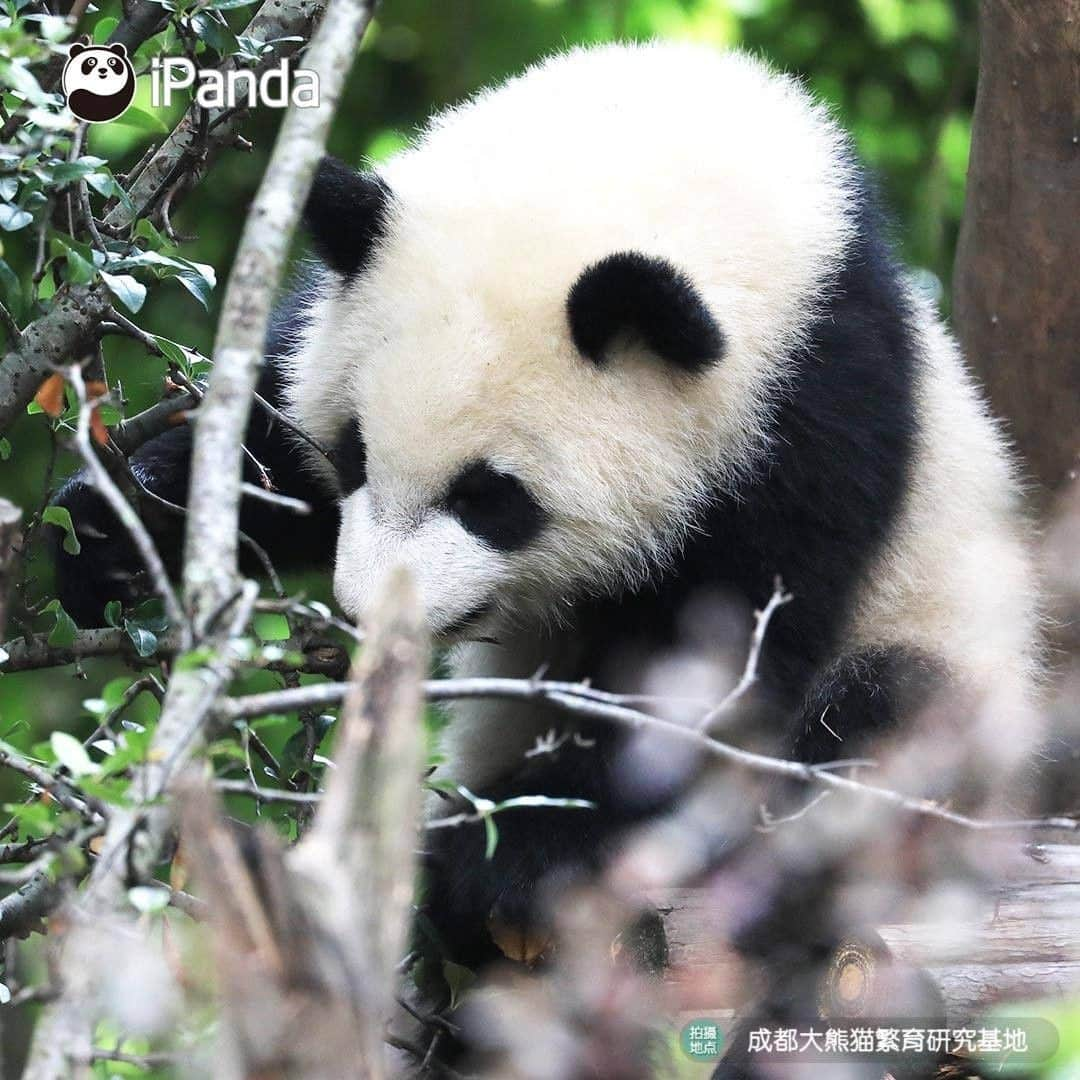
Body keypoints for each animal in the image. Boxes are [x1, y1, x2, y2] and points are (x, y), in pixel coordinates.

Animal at [54, 42, 1041, 1071]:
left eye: (490, 498)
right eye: (355, 454)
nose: (372, 610)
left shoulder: (808, 416)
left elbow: (712, 663)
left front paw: (518, 858)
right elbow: (265, 437)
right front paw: (116, 530)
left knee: (876, 728)